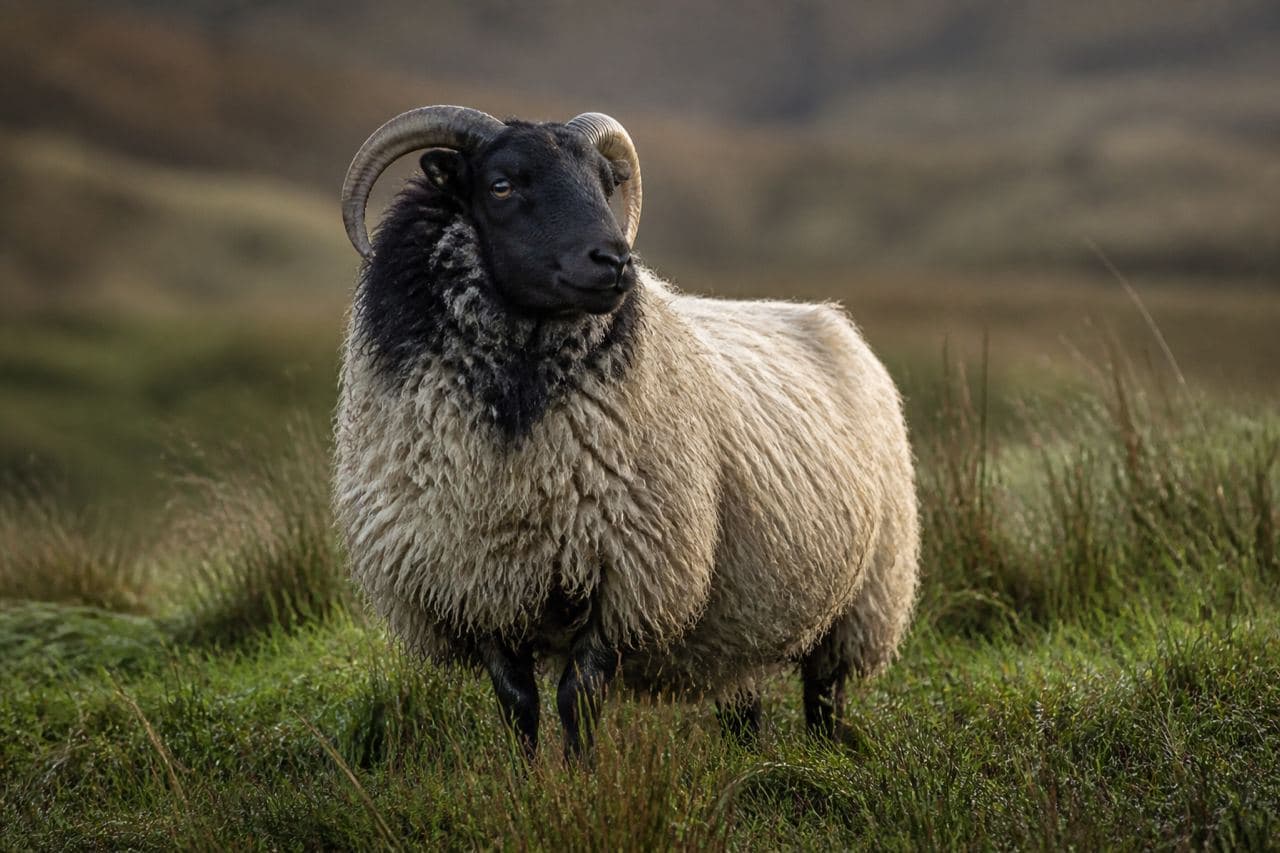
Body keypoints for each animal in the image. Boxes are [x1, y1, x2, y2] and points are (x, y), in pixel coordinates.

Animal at [333, 105, 919, 760]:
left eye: (606, 183)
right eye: (501, 185)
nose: (614, 261)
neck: (519, 417)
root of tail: (828, 318)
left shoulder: (625, 575)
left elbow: (578, 698)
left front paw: (582, 779)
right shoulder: (472, 585)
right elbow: (517, 702)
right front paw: (526, 777)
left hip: (864, 597)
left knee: (824, 695)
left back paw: (824, 758)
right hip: (742, 622)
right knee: (744, 704)